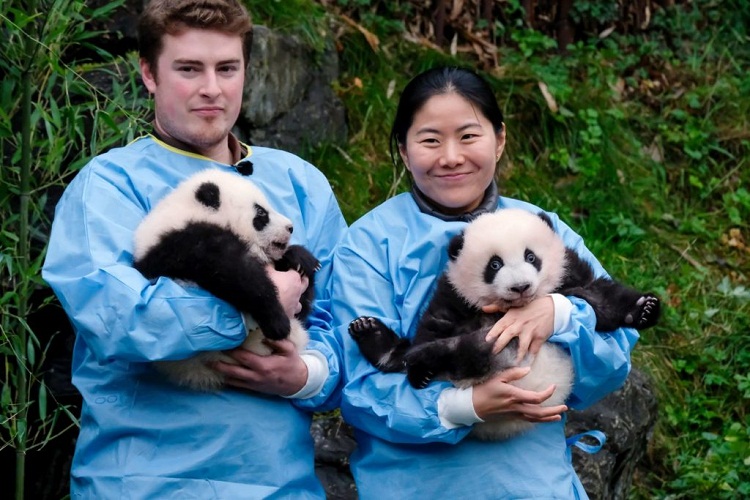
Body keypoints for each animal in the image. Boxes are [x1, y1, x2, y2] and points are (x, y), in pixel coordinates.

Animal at [133, 169, 319, 391]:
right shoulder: (183, 244)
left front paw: (301, 259)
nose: (290, 227)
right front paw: (277, 321)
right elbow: (235, 273)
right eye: (261, 213)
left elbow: (302, 307)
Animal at [349, 208, 660, 440]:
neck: (510, 309)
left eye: (531, 257)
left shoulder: (568, 271)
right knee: (451, 351)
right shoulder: (455, 294)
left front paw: (644, 310)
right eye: (494, 265)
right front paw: (417, 367)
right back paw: (388, 345)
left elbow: (597, 294)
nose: (520, 287)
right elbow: (436, 322)